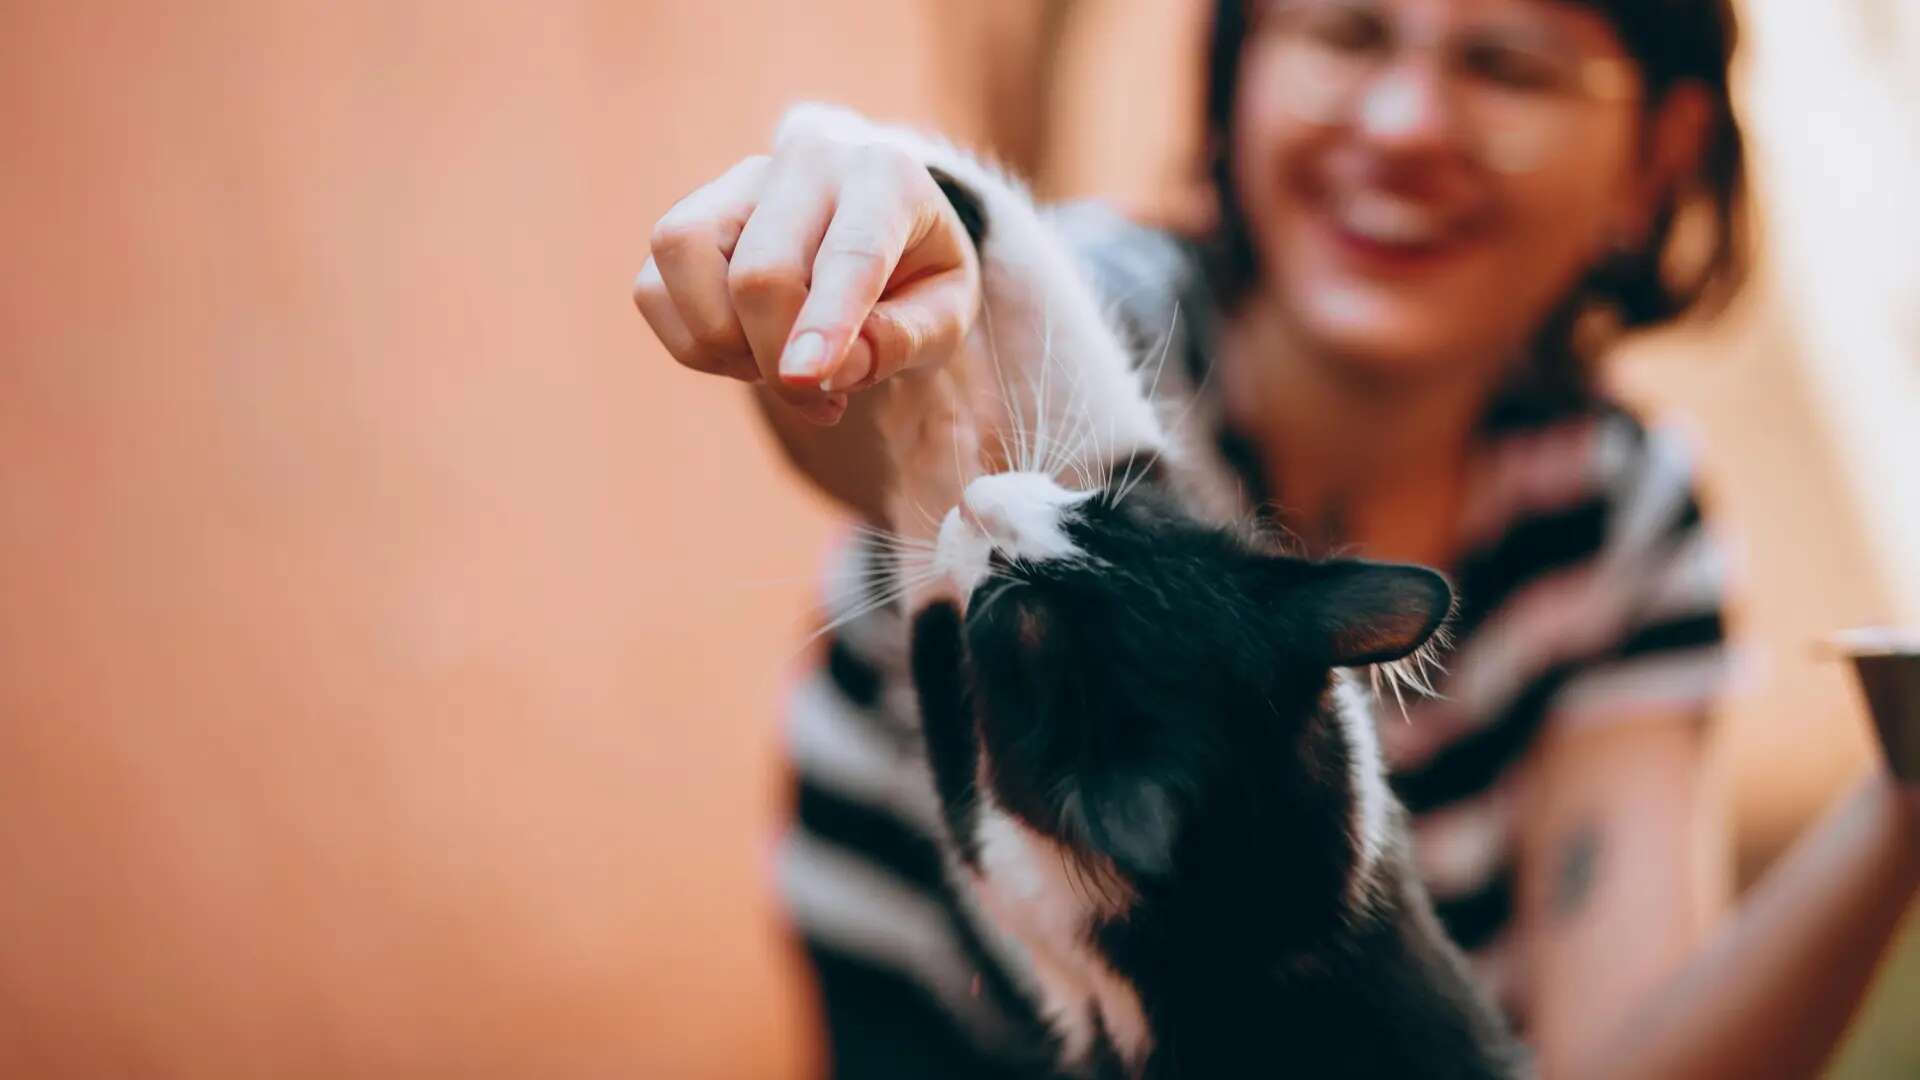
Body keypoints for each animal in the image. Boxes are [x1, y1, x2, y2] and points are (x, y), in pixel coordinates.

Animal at [783, 102, 1528, 1076]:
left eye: (1006, 616)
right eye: (1104, 508)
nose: (983, 500)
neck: (1274, 895)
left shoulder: (1047, 905)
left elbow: (932, 640)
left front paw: (928, 438)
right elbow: (1088, 379)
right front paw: (900, 170)